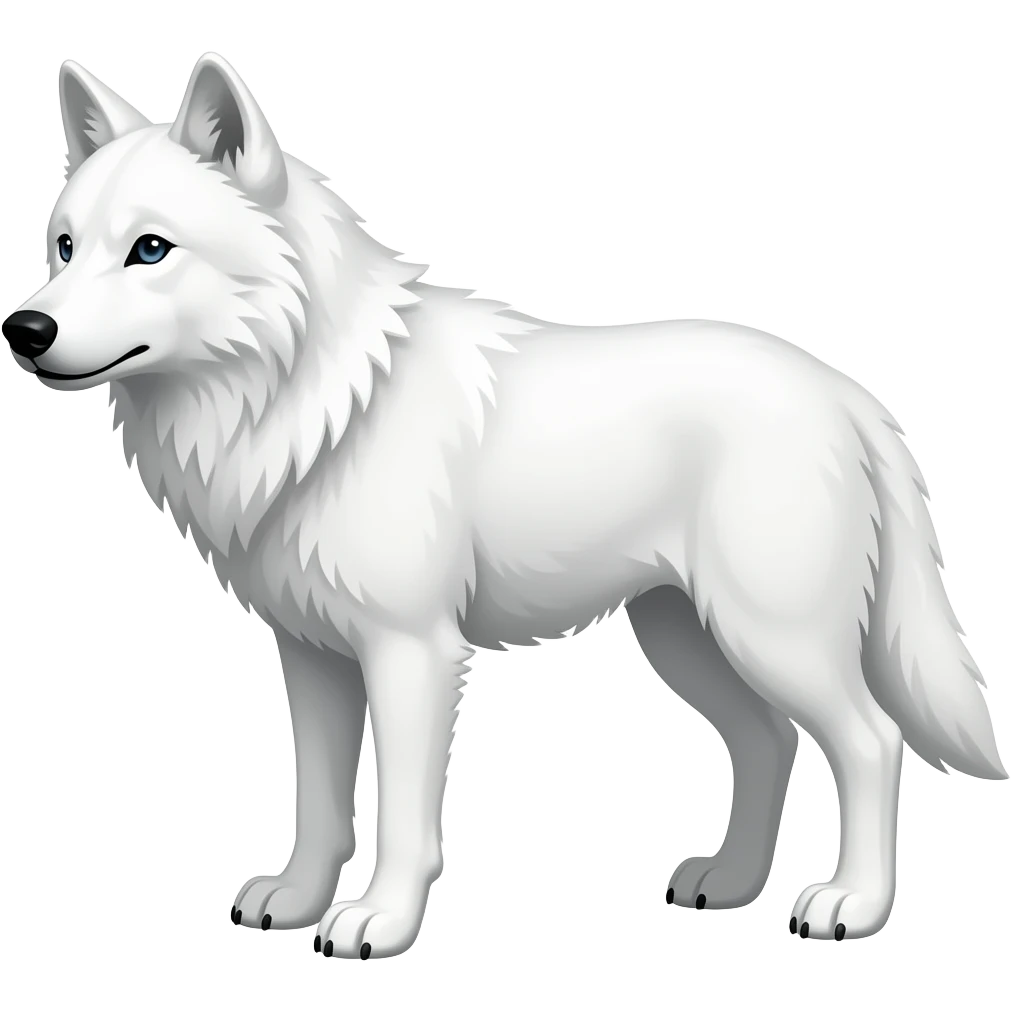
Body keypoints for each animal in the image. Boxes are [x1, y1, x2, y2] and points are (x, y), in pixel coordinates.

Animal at [4, 53, 1005, 958]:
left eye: (150, 249)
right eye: (64, 246)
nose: (25, 329)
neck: (318, 398)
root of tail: (846, 392)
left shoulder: (411, 655)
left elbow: (403, 814)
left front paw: (379, 923)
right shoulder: (313, 656)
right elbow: (320, 801)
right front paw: (295, 901)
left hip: (770, 634)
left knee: (869, 740)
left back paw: (851, 905)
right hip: (687, 638)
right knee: (767, 741)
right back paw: (727, 882)